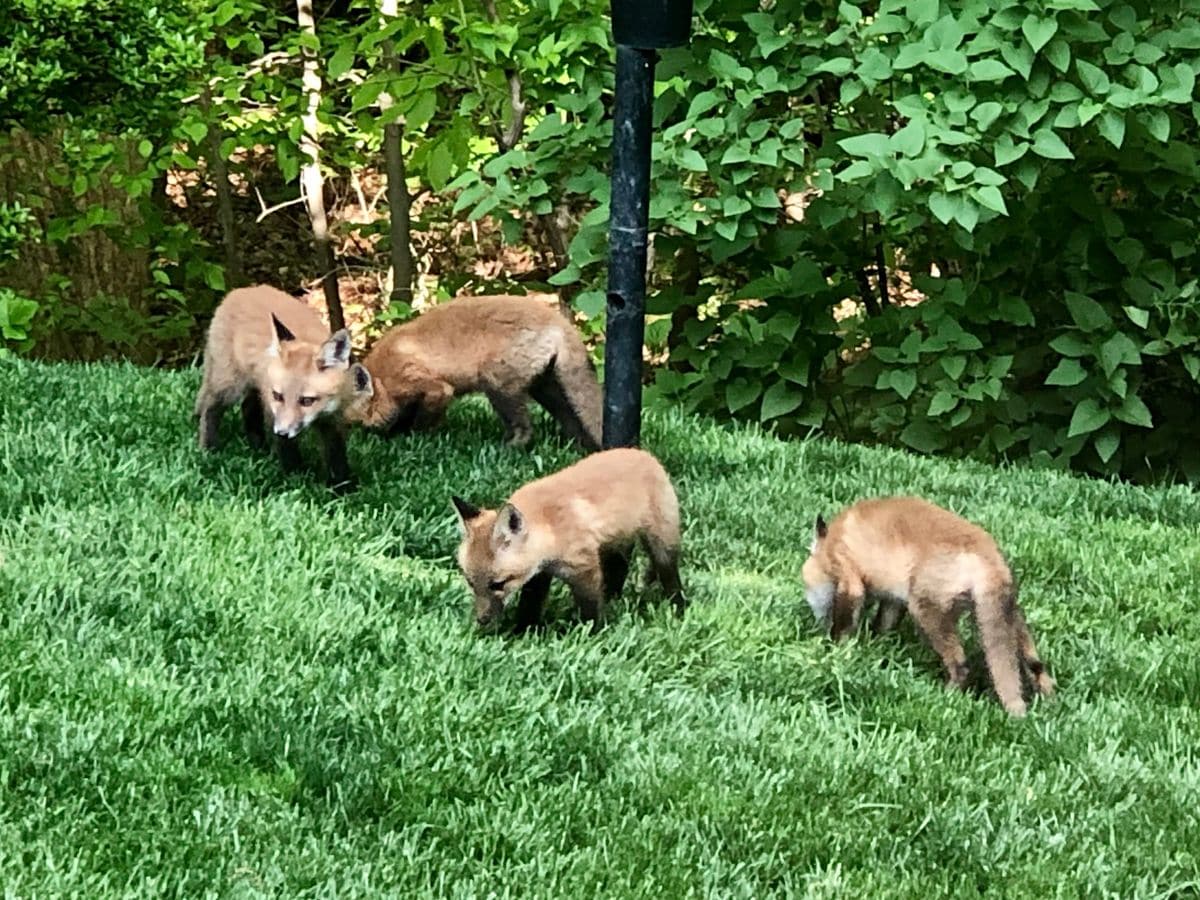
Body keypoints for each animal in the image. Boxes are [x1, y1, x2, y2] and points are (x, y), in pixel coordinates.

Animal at [194, 283, 372, 489]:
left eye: (307, 400)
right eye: (279, 396)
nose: (282, 432)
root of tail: (239, 291)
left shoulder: (333, 420)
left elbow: (337, 456)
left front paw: (342, 487)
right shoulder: (274, 411)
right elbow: (288, 452)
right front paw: (296, 480)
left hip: (254, 386)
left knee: (247, 408)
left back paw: (258, 447)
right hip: (230, 385)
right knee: (210, 409)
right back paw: (210, 449)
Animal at [350, 294, 609, 451]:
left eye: (360, 424)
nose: (367, 437)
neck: (384, 377)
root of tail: (559, 321)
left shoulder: (433, 387)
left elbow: (422, 419)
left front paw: (416, 438)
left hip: (497, 385)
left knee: (525, 427)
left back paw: (511, 447)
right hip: (546, 388)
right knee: (571, 420)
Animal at [451, 451, 686, 633]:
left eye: (498, 584)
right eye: (470, 582)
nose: (482, 620)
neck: (550, 526)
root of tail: (645, 455)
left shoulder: (584, 567)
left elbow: (590, 610)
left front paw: (592, 636)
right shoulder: (539, 574)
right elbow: (529, 605)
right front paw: (522, 632)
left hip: (661, 545)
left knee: (669, 576)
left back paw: (678, 607)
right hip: (614, 546)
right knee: (619, 570)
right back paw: (613, 598)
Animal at [801, 494, 1056, 720]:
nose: (814, 624)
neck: (833, 538)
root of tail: (988, 552)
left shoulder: (849, 577)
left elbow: (843, 626)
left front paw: (833, 651)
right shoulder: (894, 600)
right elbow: (882, 628)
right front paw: (876, 649)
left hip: (925, 611)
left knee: (961, 665)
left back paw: (948, 697)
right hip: (1005, 615)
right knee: (1036, 664)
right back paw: (1049, 699)